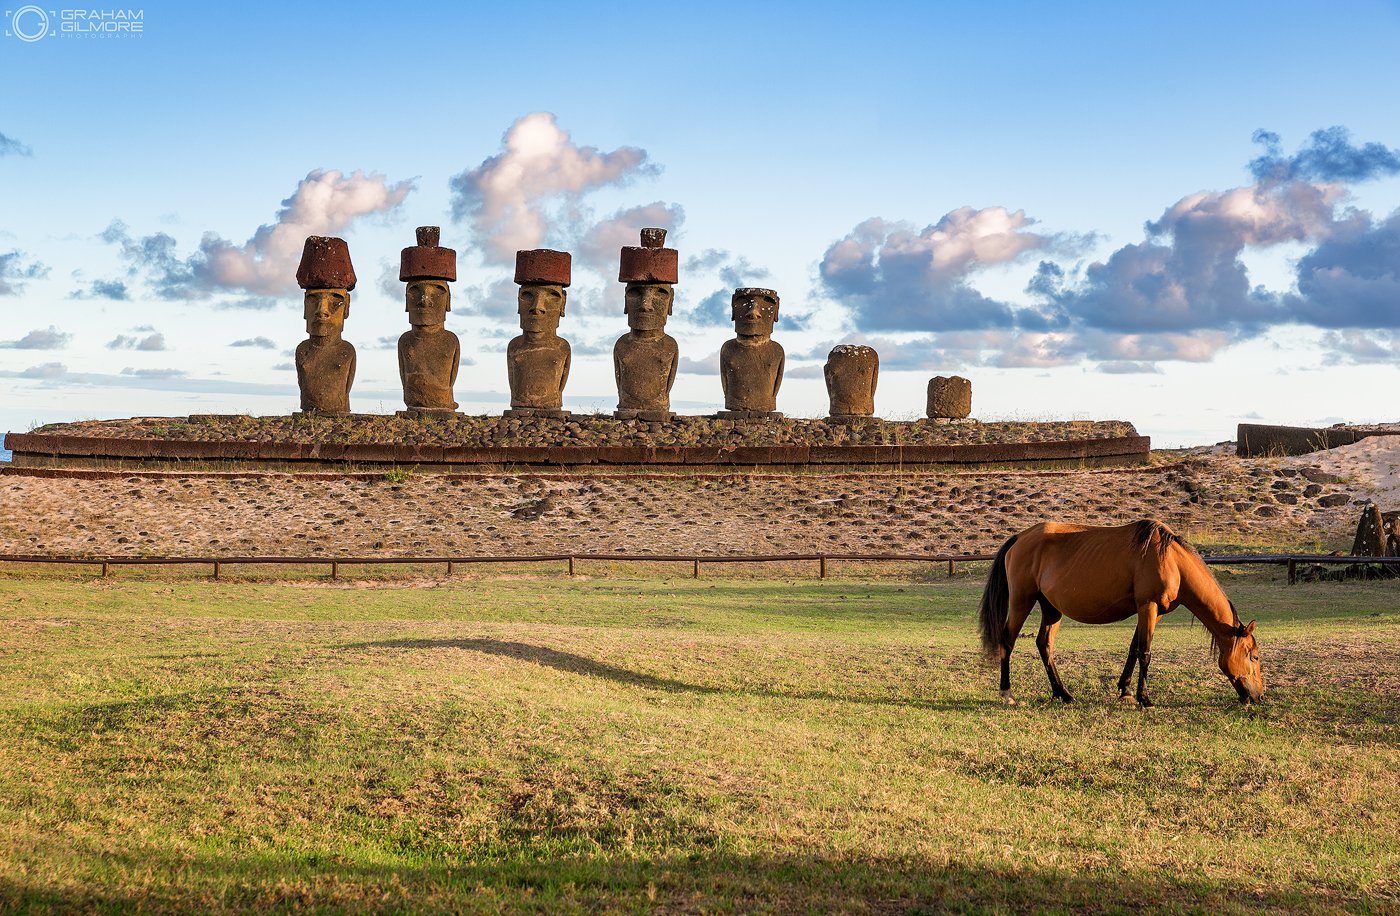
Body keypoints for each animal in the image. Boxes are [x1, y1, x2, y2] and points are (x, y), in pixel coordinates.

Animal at [977, 520, 1264, 707]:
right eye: (1254, 657)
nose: (1259, 697)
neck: (1171, 561)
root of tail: (1019, 538)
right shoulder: (1148, 606)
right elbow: (1145, 653)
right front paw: (1144, 698)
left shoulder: (1153, 612)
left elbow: (1134, 649)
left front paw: (1125, 690)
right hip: (1021, 602)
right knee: (1007, 642)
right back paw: (1007, 693)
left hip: (1051, 608)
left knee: (1044, 644)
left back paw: (1062, 693)